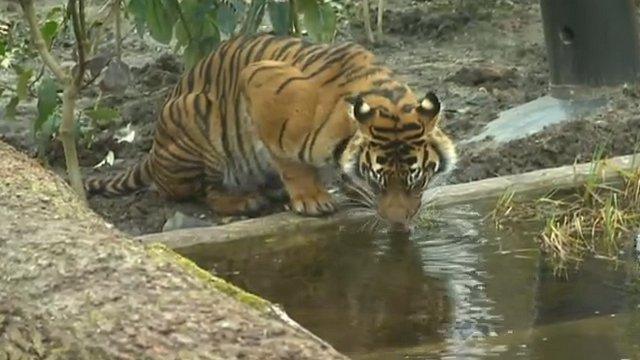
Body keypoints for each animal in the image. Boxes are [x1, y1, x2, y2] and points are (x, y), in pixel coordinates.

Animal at [86, 33, 456, 231]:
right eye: (379, 182)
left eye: (417, 182)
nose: (398, 225)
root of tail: (151, 153)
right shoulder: (261, 82)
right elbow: (290, 162)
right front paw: (312, 199)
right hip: (198, 123)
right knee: (199, 192)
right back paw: (248, 200)